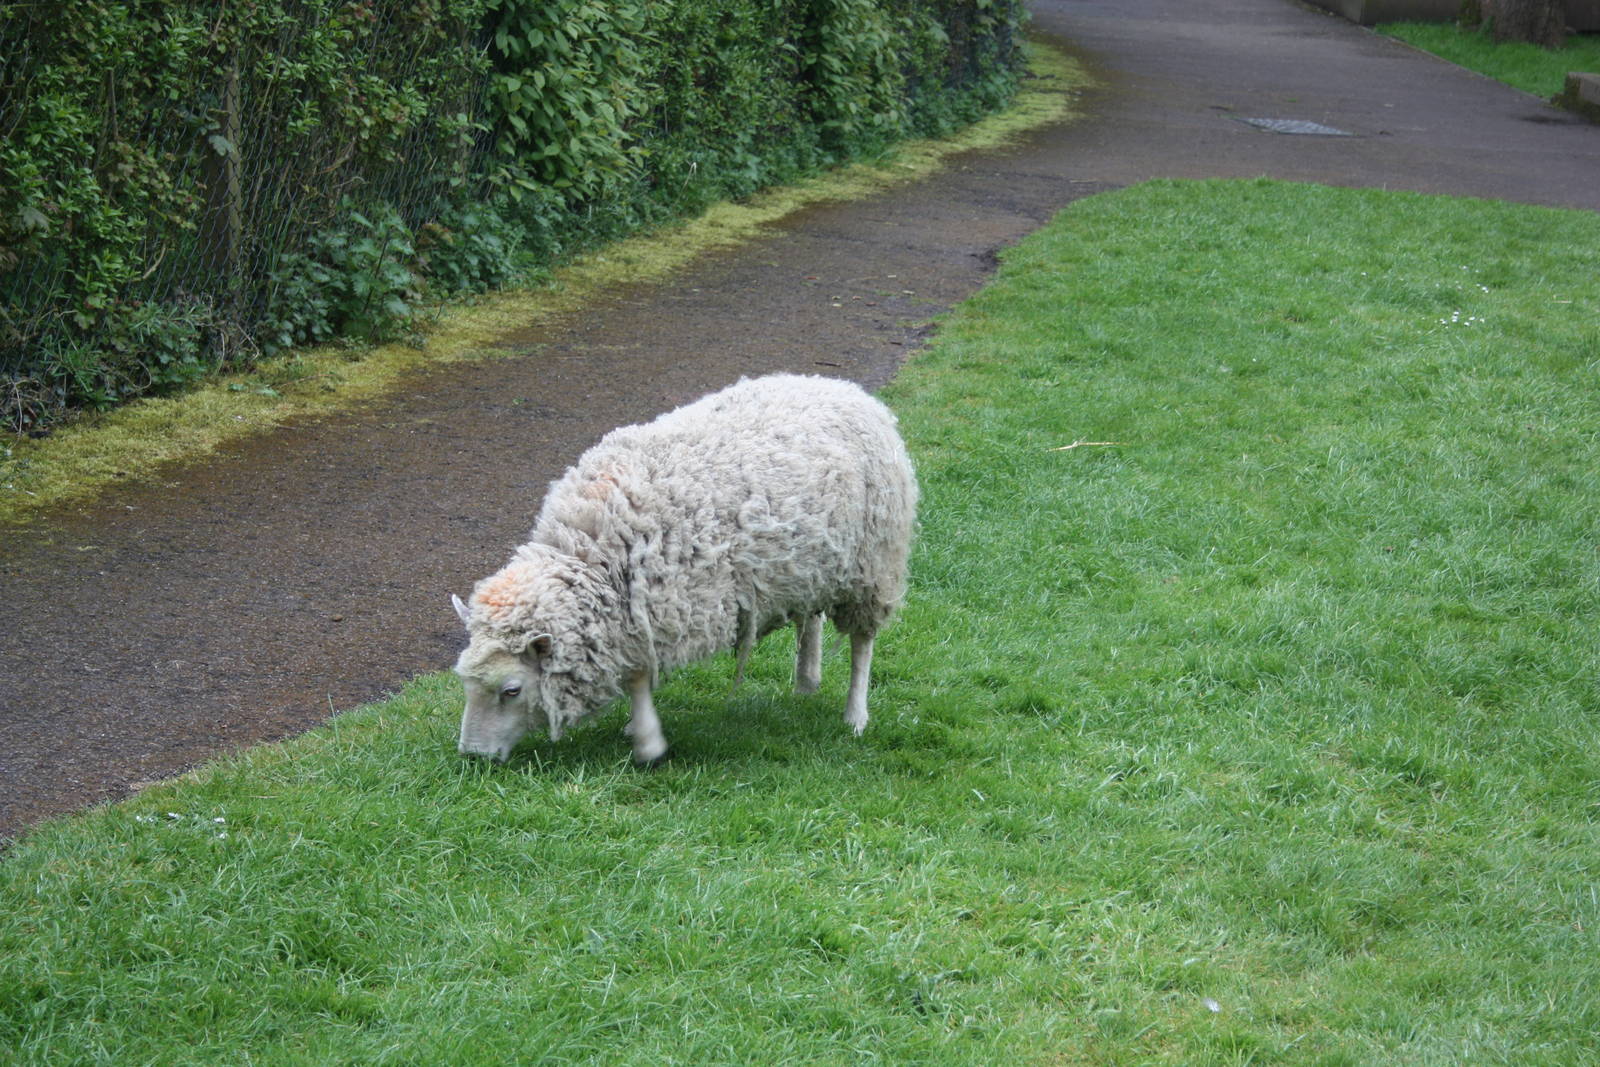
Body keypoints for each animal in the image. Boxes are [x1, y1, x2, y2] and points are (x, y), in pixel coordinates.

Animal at [450, 373, 918, 765]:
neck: (591, 552)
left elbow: (638, 678)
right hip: (810, 564)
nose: (472, 756)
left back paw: (855, 715)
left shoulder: (655, 609)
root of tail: (842, 387)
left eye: (511, 690)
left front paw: (647, 743)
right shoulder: (635, 617)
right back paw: (807, 680)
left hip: (873, 566)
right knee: (810, 617)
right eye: (465, 682)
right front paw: (638, 729)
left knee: (862, 644)